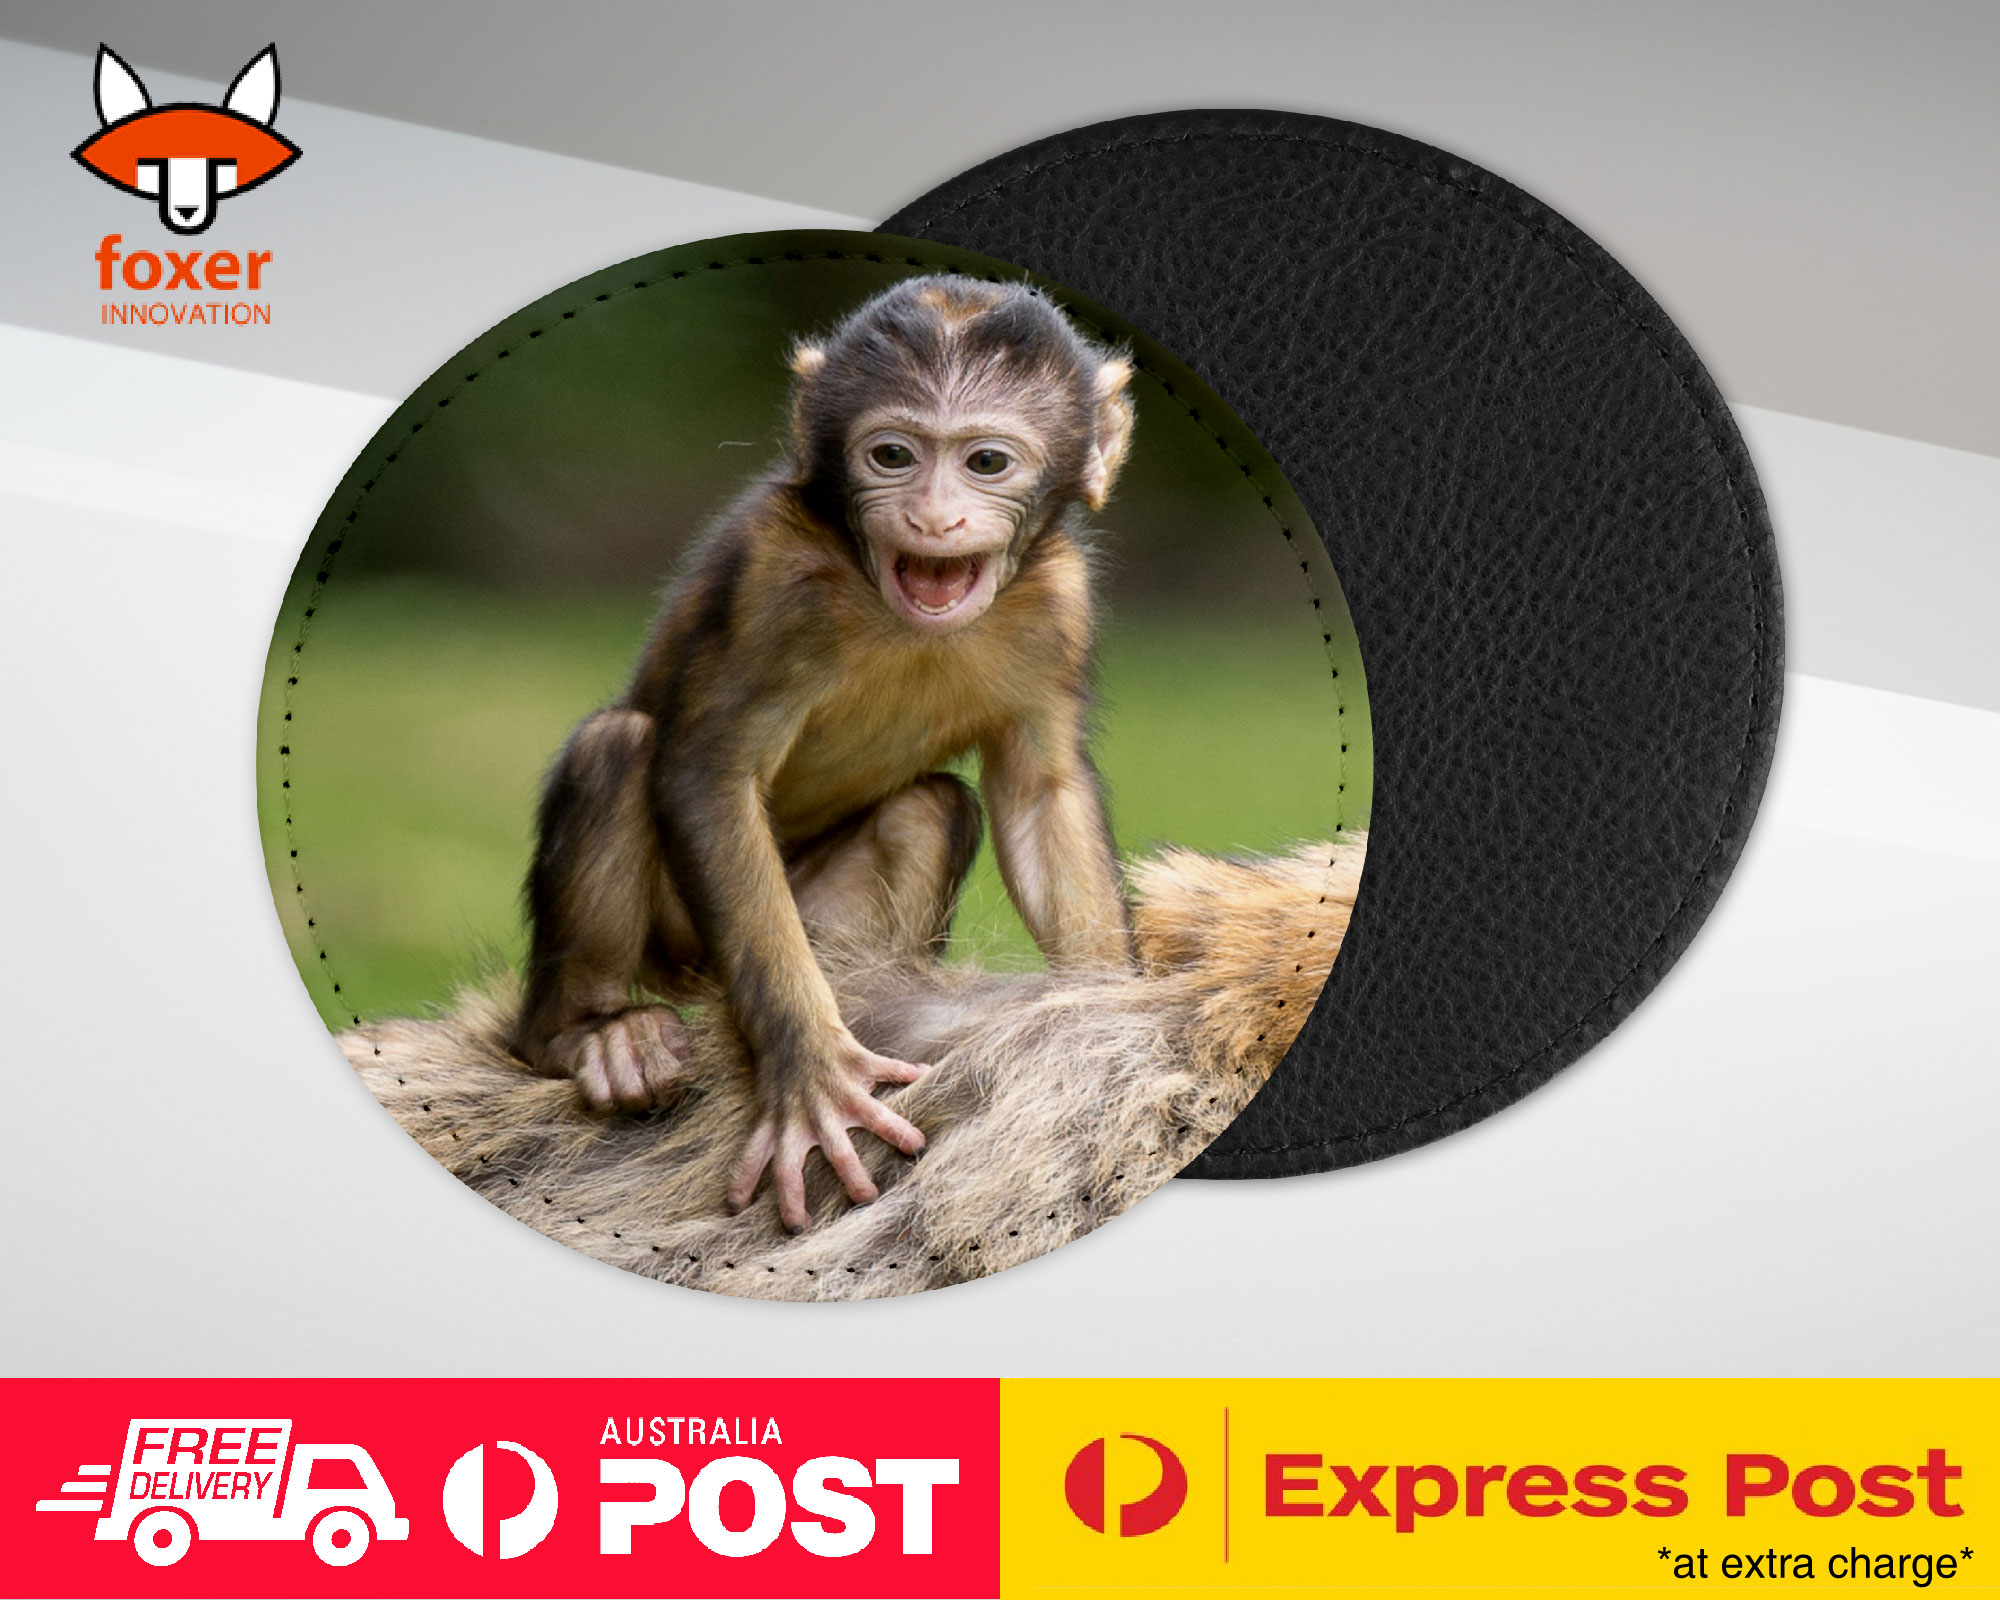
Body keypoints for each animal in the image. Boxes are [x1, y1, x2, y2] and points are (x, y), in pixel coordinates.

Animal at [510, 274, 1139, 1232]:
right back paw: (588, 1034)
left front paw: (1108, 1027)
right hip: (679, 948)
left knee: (929, 809)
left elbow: (1042, 794)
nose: (933, 516)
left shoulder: (1060, 602)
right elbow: (710, 776)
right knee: (619, 749)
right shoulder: (773, 578)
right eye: (893, 455)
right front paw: (810, 1074)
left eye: (986, 463)